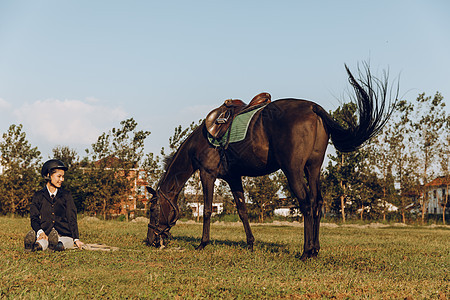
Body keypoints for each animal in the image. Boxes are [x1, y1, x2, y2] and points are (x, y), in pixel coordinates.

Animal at [147, 65, 394, 260]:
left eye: (153, 209)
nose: (151, 240)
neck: (200, 140)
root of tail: (313, 108)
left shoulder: (207, 174)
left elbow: (207, 210)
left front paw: (202, 244)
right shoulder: (233, 177)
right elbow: (242, 211)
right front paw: (250, 244)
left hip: (293, 170)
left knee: (306, 203)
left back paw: (305, 252)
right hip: (313, 168)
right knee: (317, 203)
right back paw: (315, 249)